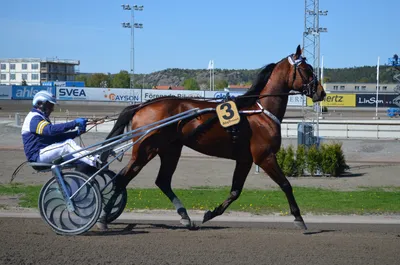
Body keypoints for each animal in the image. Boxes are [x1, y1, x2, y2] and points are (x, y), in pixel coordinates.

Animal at [97, 44, 324, 229]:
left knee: (162, 181)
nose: (321, 92)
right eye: (307, 69)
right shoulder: (264, 156)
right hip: (146, 150)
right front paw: (299, 218)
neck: (260, 113)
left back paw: (185, 217)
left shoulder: (245, 159)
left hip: (170, 149)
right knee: (123, 179)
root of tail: (143, 105)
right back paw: (103, 218)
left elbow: (235, 191)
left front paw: (210, 214)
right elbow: (286, 185)